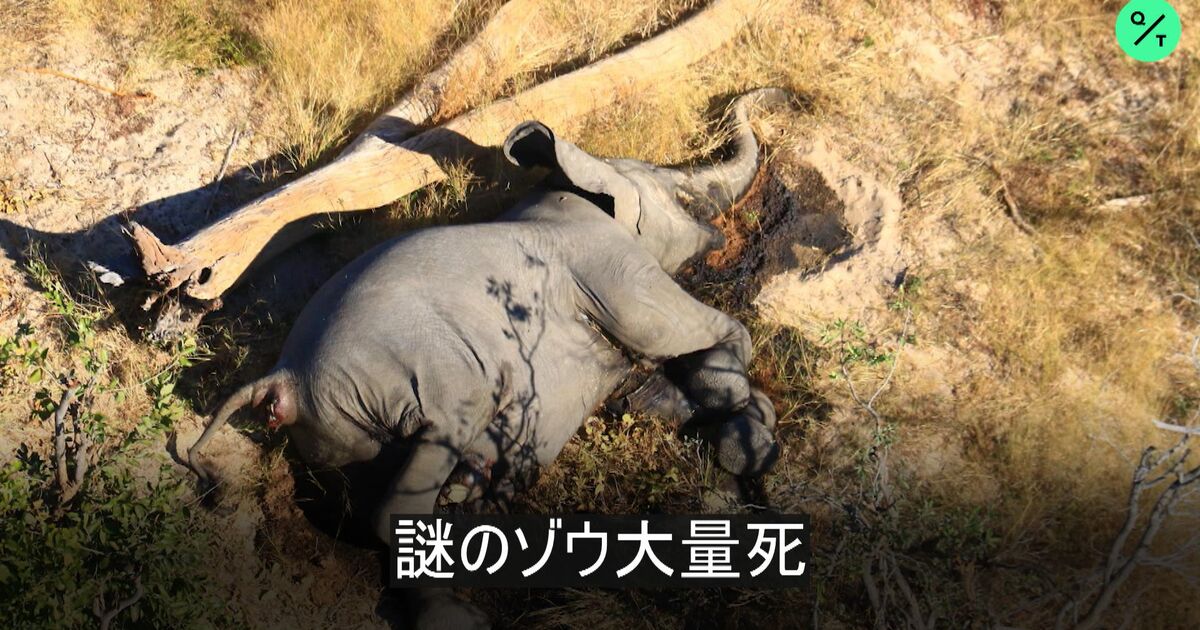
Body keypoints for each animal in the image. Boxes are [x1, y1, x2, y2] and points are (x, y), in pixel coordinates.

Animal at [187, 88, 787, 628]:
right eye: (681, 193)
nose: (771, 98)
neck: (575, 186)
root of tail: (281, 380)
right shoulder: (612, 265)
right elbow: (687, 331)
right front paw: (749, 439)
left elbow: (643, 385)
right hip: (414, 375)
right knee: (408, 489)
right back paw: (460, 607)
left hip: (338, 437)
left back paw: (473, 486)